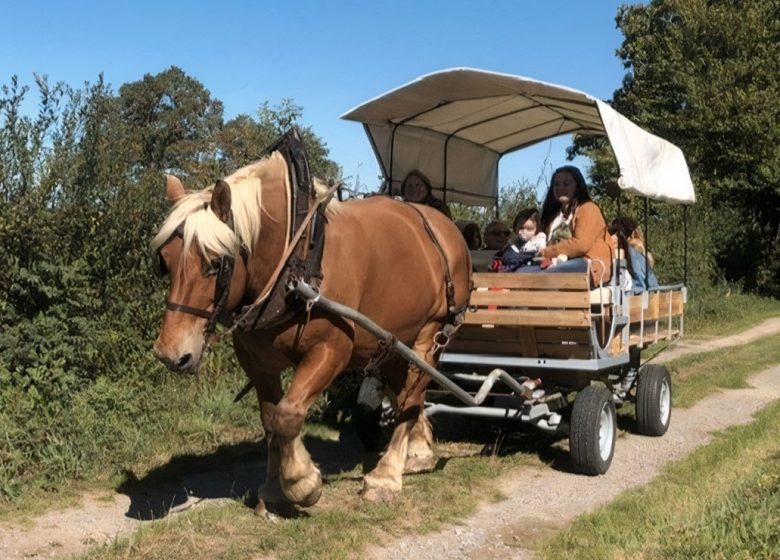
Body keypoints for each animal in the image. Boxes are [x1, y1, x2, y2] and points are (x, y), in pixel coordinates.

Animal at [150, 151, 472, 510]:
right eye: (165, 261)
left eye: (215, 263)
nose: (170, 354)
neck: (297, 258)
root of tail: (448, 229)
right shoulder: (256, 362)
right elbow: (270, 419)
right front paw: (274, 488)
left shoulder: (331, 351)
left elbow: (288, 415)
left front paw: (301, 481)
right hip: (393, 340)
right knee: (403, 392)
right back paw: (417, 449)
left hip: (431, 331)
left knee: (414, 393)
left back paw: (386, 475)